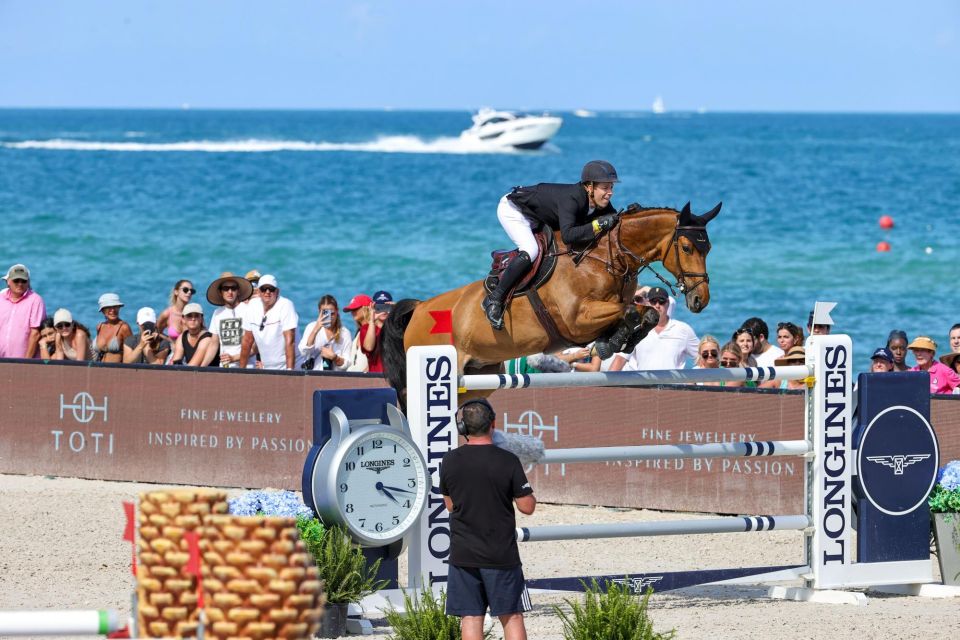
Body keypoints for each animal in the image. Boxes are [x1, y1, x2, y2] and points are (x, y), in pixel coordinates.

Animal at [382, 200, 720, 402]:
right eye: (687, 248)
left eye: (709, 248)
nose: (700, 299)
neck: (605, 257)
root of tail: (419, 309)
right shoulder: (576, 320)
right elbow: (634, 310)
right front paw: (613, 341)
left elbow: (643, 314)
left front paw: (614, 342)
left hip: (480, 376)